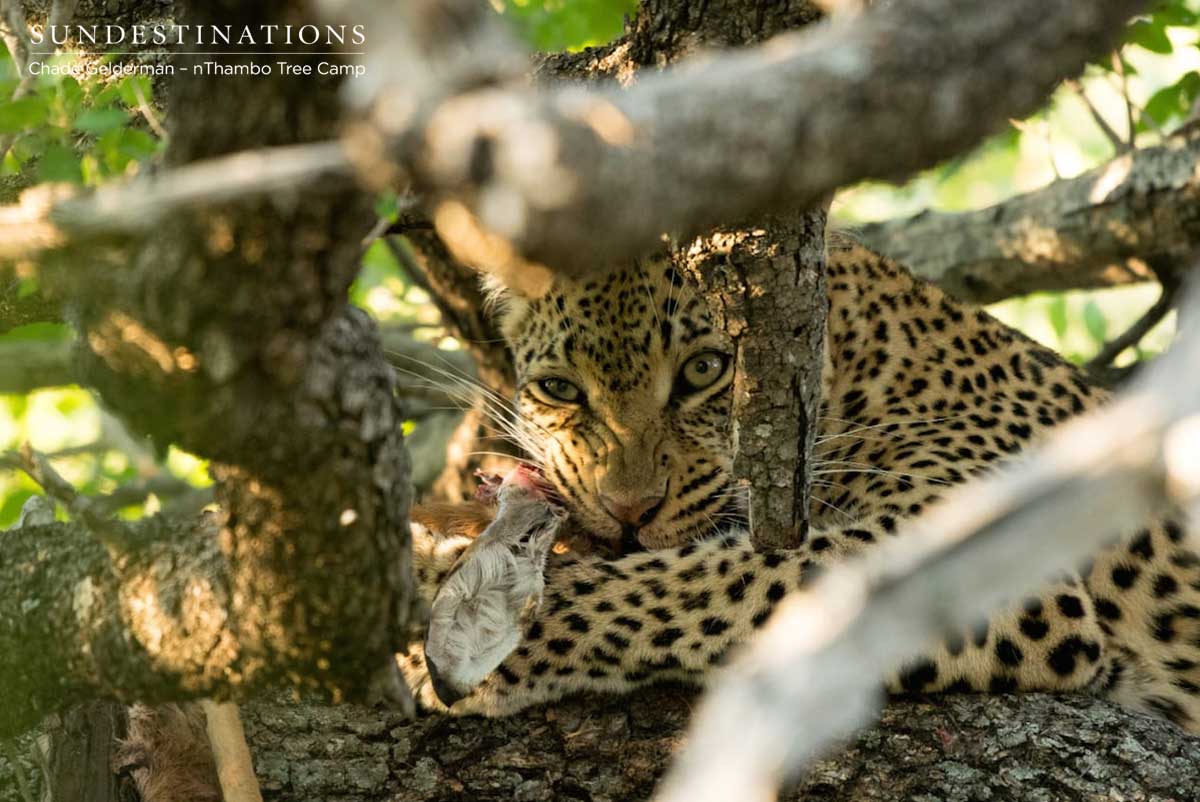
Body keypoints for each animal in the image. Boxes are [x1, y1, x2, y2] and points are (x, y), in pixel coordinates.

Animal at [401, 235, 1200, 732]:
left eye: (704, 370)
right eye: (561, 388)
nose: (629, 510)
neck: (870, 368)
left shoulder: (1015, 574)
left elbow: (692, 583)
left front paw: (443, 623)